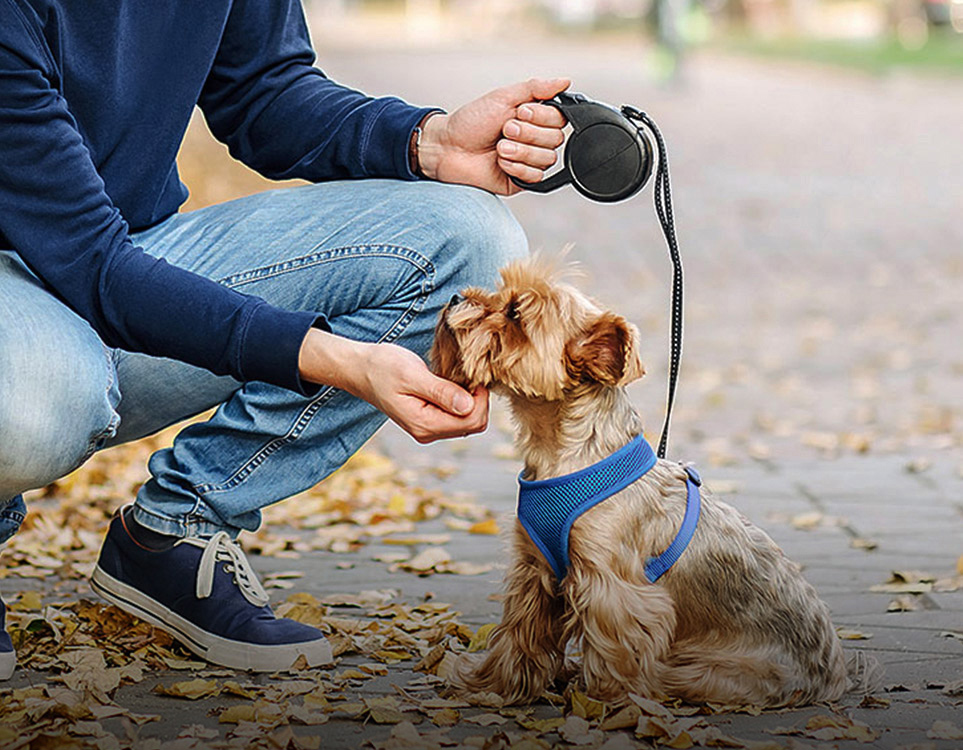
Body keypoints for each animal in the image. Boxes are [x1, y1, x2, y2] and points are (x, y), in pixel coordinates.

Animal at [430, 256, 880, 708]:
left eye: (514, 314)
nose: (455, 297)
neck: (563, 455)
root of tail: (836, 679)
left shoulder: (613, 590)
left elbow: (614, 655)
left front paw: (604, 705)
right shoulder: (534, 571)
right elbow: (518, 640)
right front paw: (488, 688)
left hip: (711, 671)